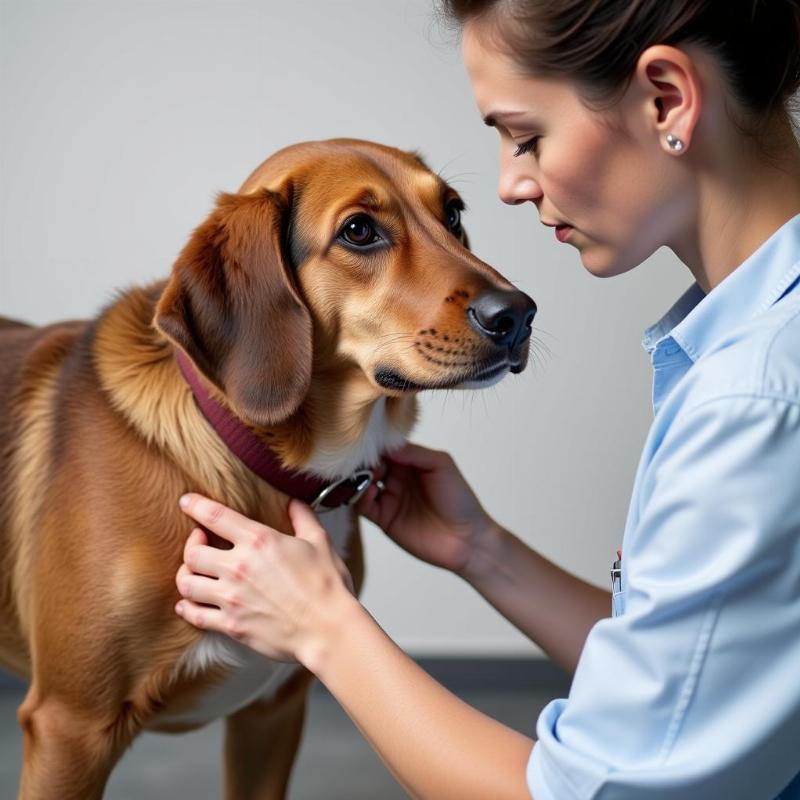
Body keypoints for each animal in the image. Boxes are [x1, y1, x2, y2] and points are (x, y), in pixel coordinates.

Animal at [1, 141, 536, 796]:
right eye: (359, 231)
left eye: (454, 212)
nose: (520, 314)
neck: (248, 458)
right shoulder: (69, 729)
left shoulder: (272, 715)